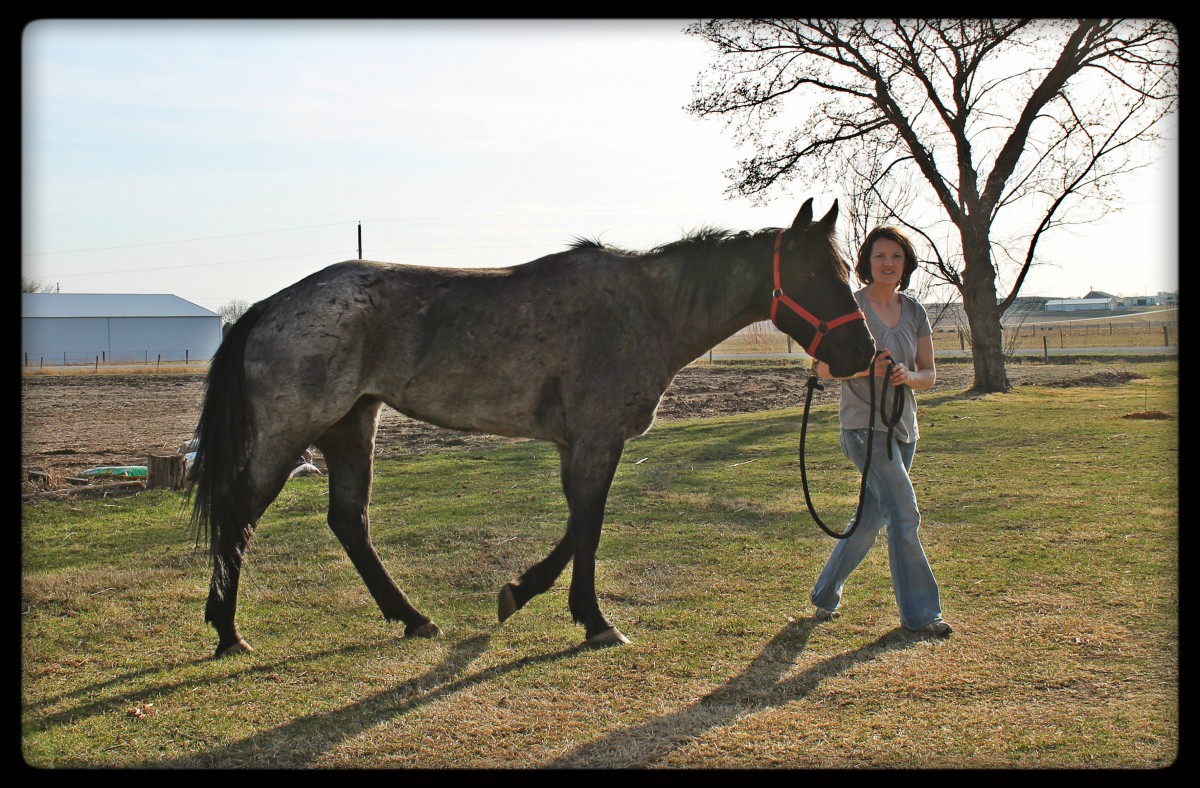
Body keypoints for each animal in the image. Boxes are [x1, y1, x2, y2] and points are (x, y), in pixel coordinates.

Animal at [192, 195, 878, 652]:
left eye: (846, 271)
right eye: (814, 275)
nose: (862, 353)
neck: (645, 308)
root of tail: (271, 305)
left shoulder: (577, 445)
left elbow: (576, 525)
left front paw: (521, 592)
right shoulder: (598, 440)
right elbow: (589, 525)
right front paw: (594, 621)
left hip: (351, 427)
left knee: (348, 521)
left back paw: (412, 618)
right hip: (290, 435)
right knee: (240, 511)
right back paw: (228, 631)